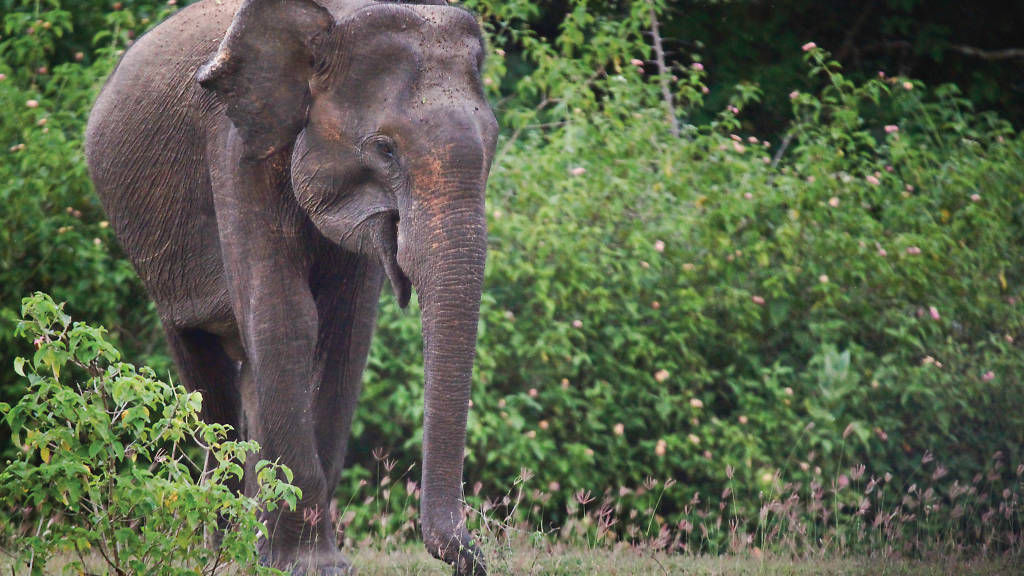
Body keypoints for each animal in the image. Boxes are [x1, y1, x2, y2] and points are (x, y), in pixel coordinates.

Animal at [87, 1, 495, 569]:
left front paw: (299, 560)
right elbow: (287, 315)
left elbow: (345, 335)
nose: (474, 555)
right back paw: (223, 552)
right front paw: (311, 566)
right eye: (385, 149)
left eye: (493, 144)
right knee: (204, 369)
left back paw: (250, 545)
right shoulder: (235, 148)